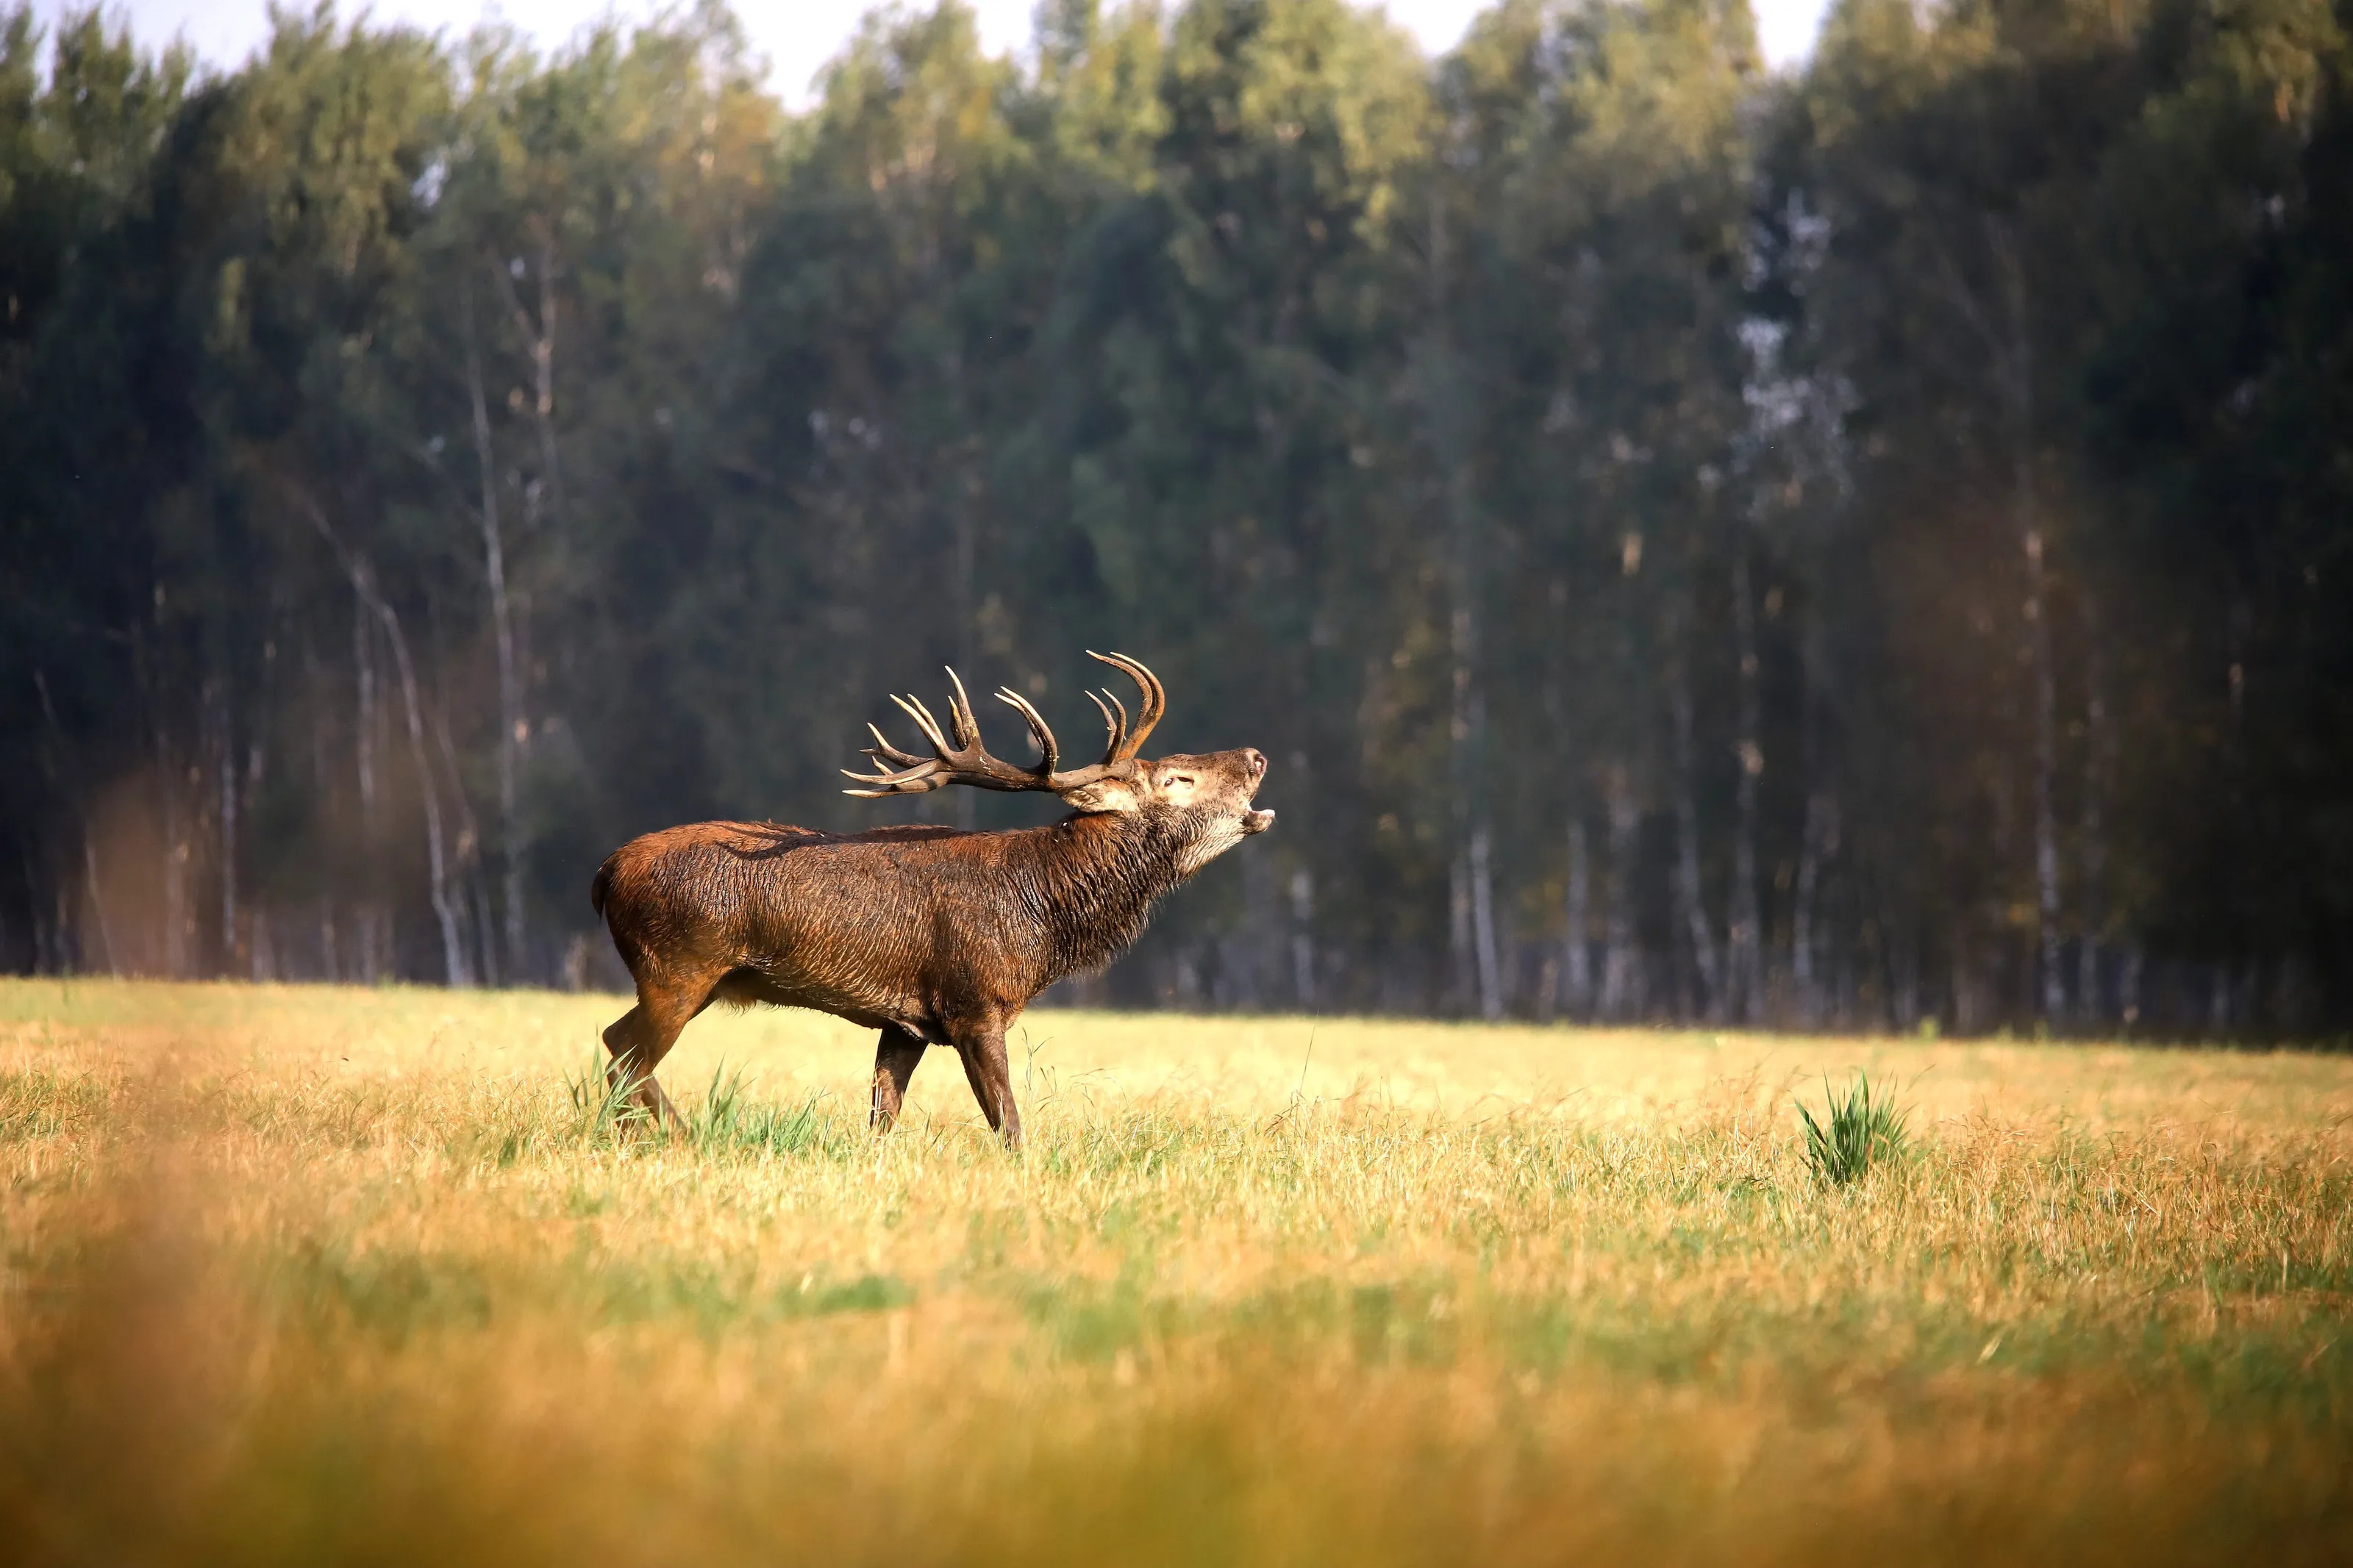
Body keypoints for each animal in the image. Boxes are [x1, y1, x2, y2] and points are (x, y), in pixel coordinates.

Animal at [588, 653, 1273, 1148]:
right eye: (1176, 778)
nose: (1256, 754)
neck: (1044, 915)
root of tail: (604, 873)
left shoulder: (906, 1019)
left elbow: (882, 1118)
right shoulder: (975, 1001)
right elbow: (1009, 1124)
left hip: (695, 977)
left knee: (614, 1039)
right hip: (678, 965)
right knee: (626, 1055)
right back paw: (683, 1137)